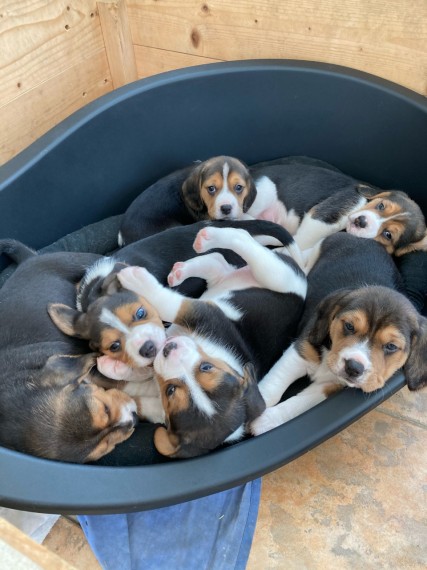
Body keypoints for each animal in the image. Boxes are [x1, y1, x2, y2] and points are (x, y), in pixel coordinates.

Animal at [118, 223, 308, 458]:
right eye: (206, 367)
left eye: (170, 391)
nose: (169, 348)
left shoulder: (200, 313)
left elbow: (170, 304)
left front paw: (136, 280)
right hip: (262, 277)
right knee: (223, 255)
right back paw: (186, 265)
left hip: (276, 275)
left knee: (239, 242)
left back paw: (204, 242)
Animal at [251, 231, 427, 434]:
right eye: (349, 326)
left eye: (391, 346)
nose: (353, 367)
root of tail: (364, 239)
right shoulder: (300, 351)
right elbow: (272, 388)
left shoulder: (332, 385)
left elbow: (297, 404)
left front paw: (266, 421)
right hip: (317, 251)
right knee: (303, 261)